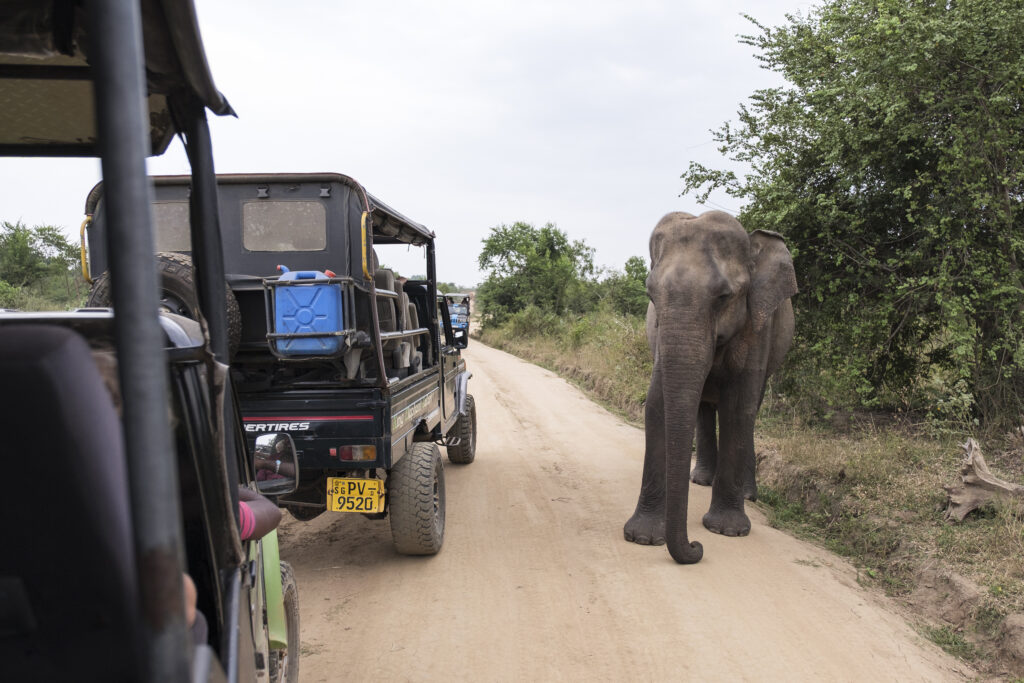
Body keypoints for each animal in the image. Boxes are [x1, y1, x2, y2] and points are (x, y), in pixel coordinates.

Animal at [623, 210, 797, 564]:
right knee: (704, 407)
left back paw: (747, 493)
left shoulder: (759, 325)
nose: (696, 547)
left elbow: (738, 408)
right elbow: (658, 404)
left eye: (724, 297)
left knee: (750, 411)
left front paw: (727, 531)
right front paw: (643, 538)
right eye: (651, 296)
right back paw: (701, 480)